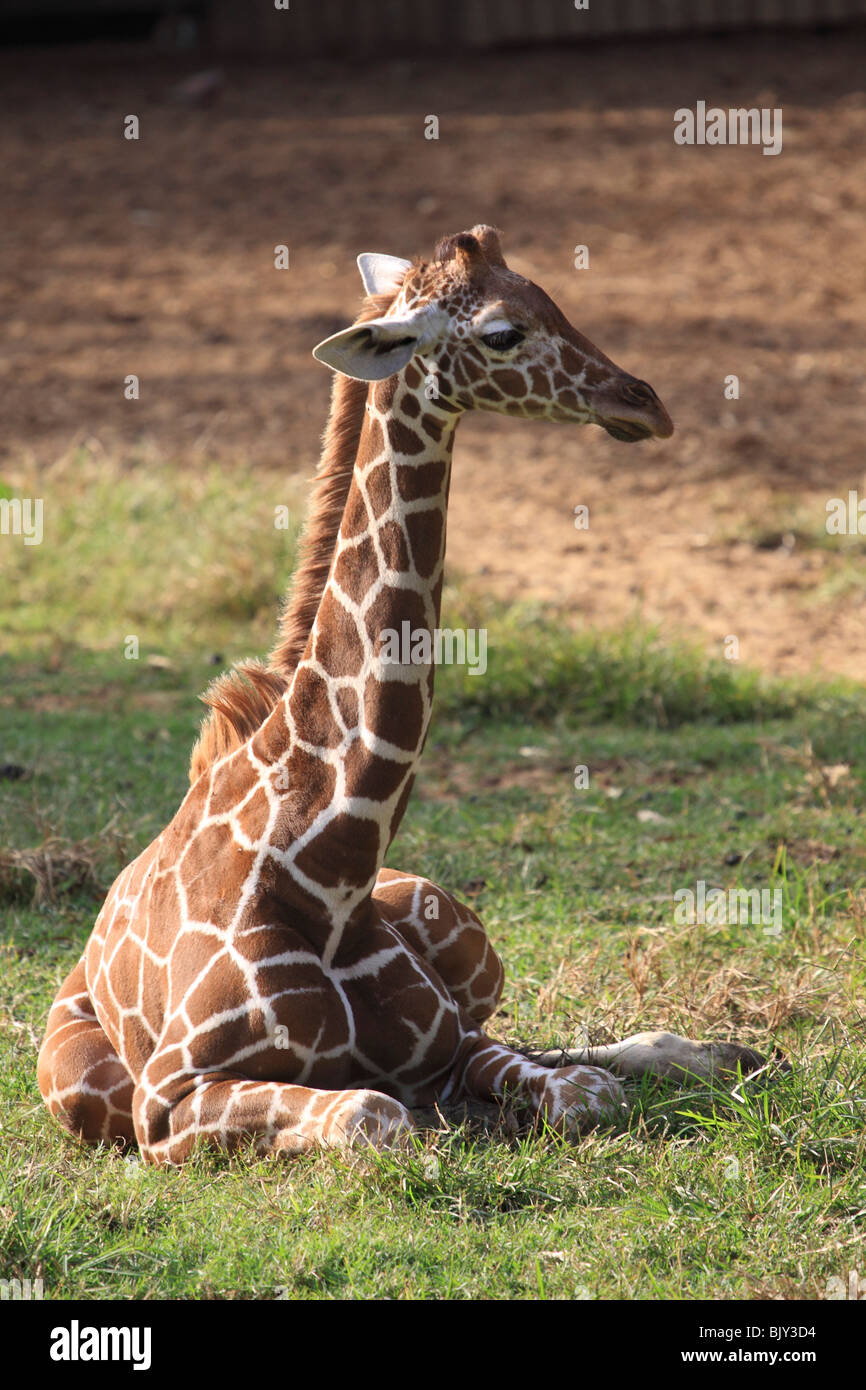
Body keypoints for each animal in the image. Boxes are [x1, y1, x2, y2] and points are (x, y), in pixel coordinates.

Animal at [37, 227, 767, 1162]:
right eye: (502, 332)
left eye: (553, 295)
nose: (645, 402)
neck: (327, 869)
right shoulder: (167, 1102)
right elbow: (373, 1114)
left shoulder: (448, 1043)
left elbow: (577, 1093)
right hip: (82, 1088)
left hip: (462, 926)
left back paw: (725, 1052)